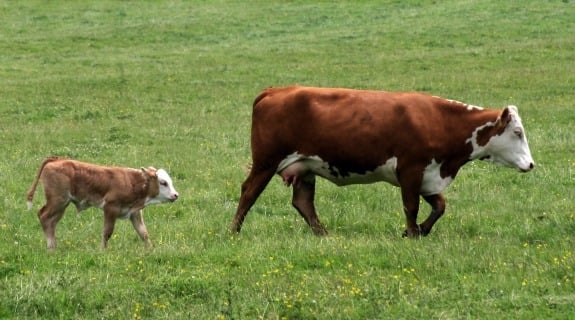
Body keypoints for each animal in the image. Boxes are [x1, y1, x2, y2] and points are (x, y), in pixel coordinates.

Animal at [25, 158, 179, 250]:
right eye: (163, 182)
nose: (175, 195)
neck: (133, 182)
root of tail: (57, 159)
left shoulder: (134, 212)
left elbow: (143, 233)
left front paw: (151, 249)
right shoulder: (110, 208)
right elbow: (107, 232)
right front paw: (102, 250)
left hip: (61, 205)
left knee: (51, 222)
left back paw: (53, 246)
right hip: (57, 201)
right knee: (44, 216)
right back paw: (51, 248)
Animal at [230, 85, 536, 238]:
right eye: (517, 133)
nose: (531, 165)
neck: (441, 122)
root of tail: (276, 90)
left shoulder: (429, 175)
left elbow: (440, 206)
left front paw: (421, 231)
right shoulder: (410, 170)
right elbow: (411, 206)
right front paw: (412, 232)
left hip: (304, 166)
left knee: (303, 202)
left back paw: (324, 234)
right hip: (266, 162)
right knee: (249, 193)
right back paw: (234, 232)